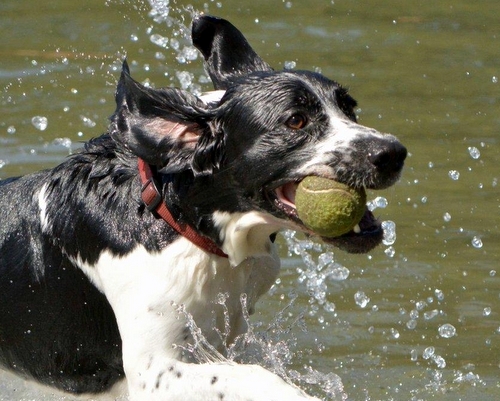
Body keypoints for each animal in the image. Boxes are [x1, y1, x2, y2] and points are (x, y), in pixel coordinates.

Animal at [0, 14, 406, 398]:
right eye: (295, 121)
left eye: (350, 109)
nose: (393, 153)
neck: (179, 220)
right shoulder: (153, 371)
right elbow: (257, 377)